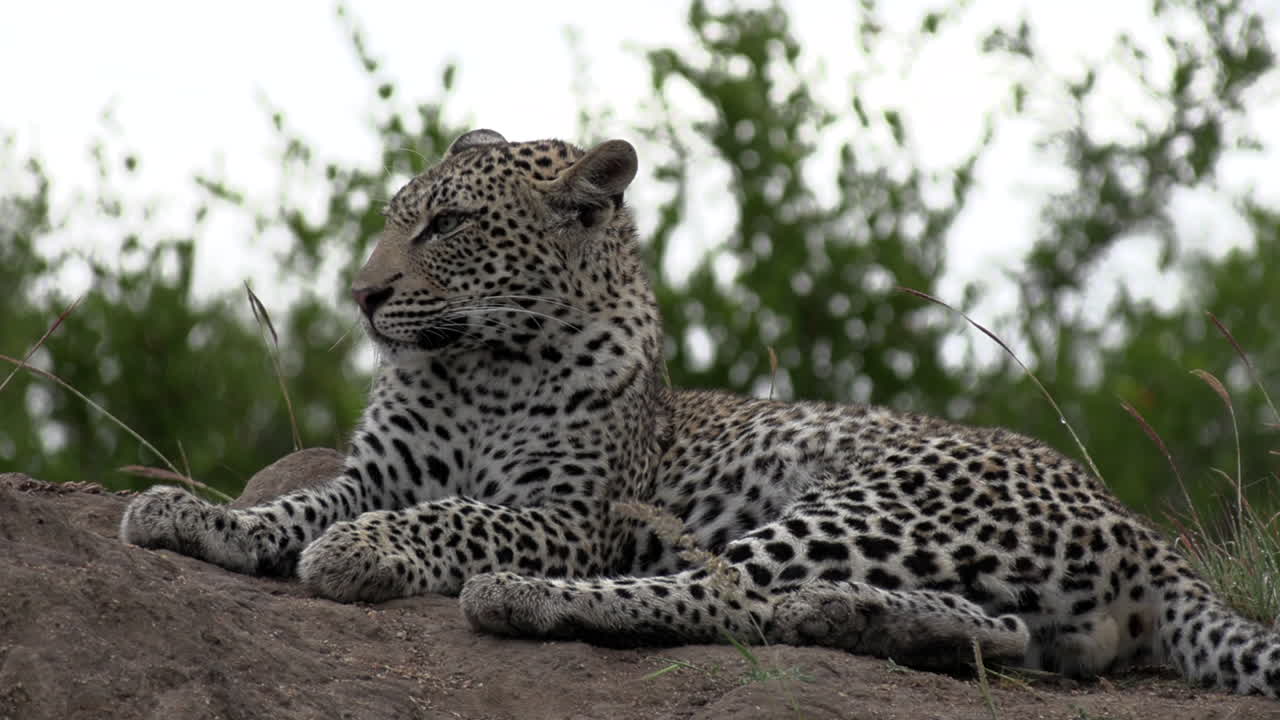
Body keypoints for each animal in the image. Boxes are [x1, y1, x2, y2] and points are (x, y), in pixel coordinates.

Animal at [121, 128, 1280, 696]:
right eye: (395, 220)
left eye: (445, 226)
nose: (361, 295)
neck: (479, 363)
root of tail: (1135, 526)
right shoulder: (379, 469)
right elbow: (295, 504)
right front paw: (193, 517)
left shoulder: (570, 517)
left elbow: (455, 516)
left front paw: (363, 553)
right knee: (996, 633)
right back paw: (856, 620)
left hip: (866, 500)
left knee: (718, 593)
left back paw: (524, 600)